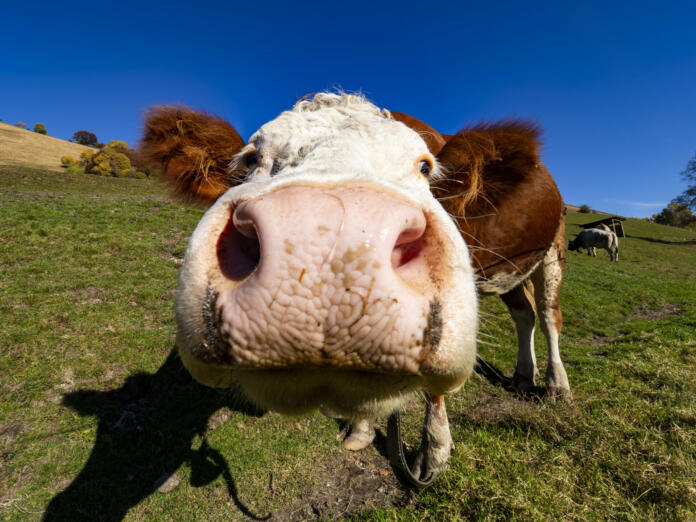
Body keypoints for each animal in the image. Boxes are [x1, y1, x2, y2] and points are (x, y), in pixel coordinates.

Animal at [140, 92, 572, 484]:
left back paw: (557, 386)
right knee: (523, 314)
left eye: (425, 166)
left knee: (548, 316)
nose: (324, 238)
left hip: (553, 251)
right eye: (250, 159)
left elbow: (434, 391)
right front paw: (361, 429)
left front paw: (434, 452)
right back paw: (523, 375)